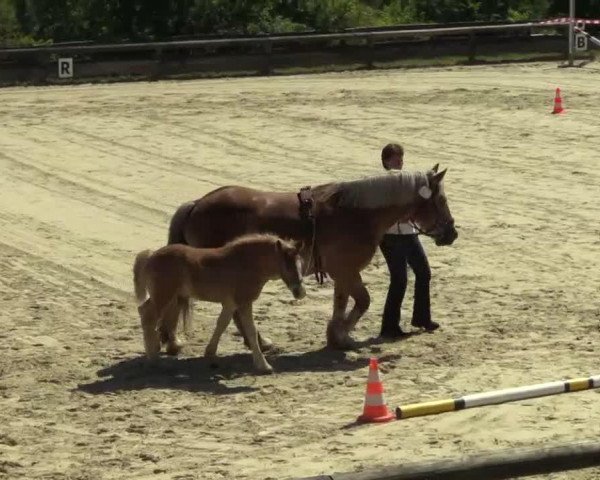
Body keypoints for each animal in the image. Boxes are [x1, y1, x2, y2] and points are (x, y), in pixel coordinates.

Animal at [164, 164, 454, 348]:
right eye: (441, 200)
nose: (452, 233)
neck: (354, 213)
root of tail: (197, 204)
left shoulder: (343, 273)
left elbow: (342, 302)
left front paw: (338, 337)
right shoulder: (346, 271)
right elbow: (363, 301)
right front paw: (340, 335)